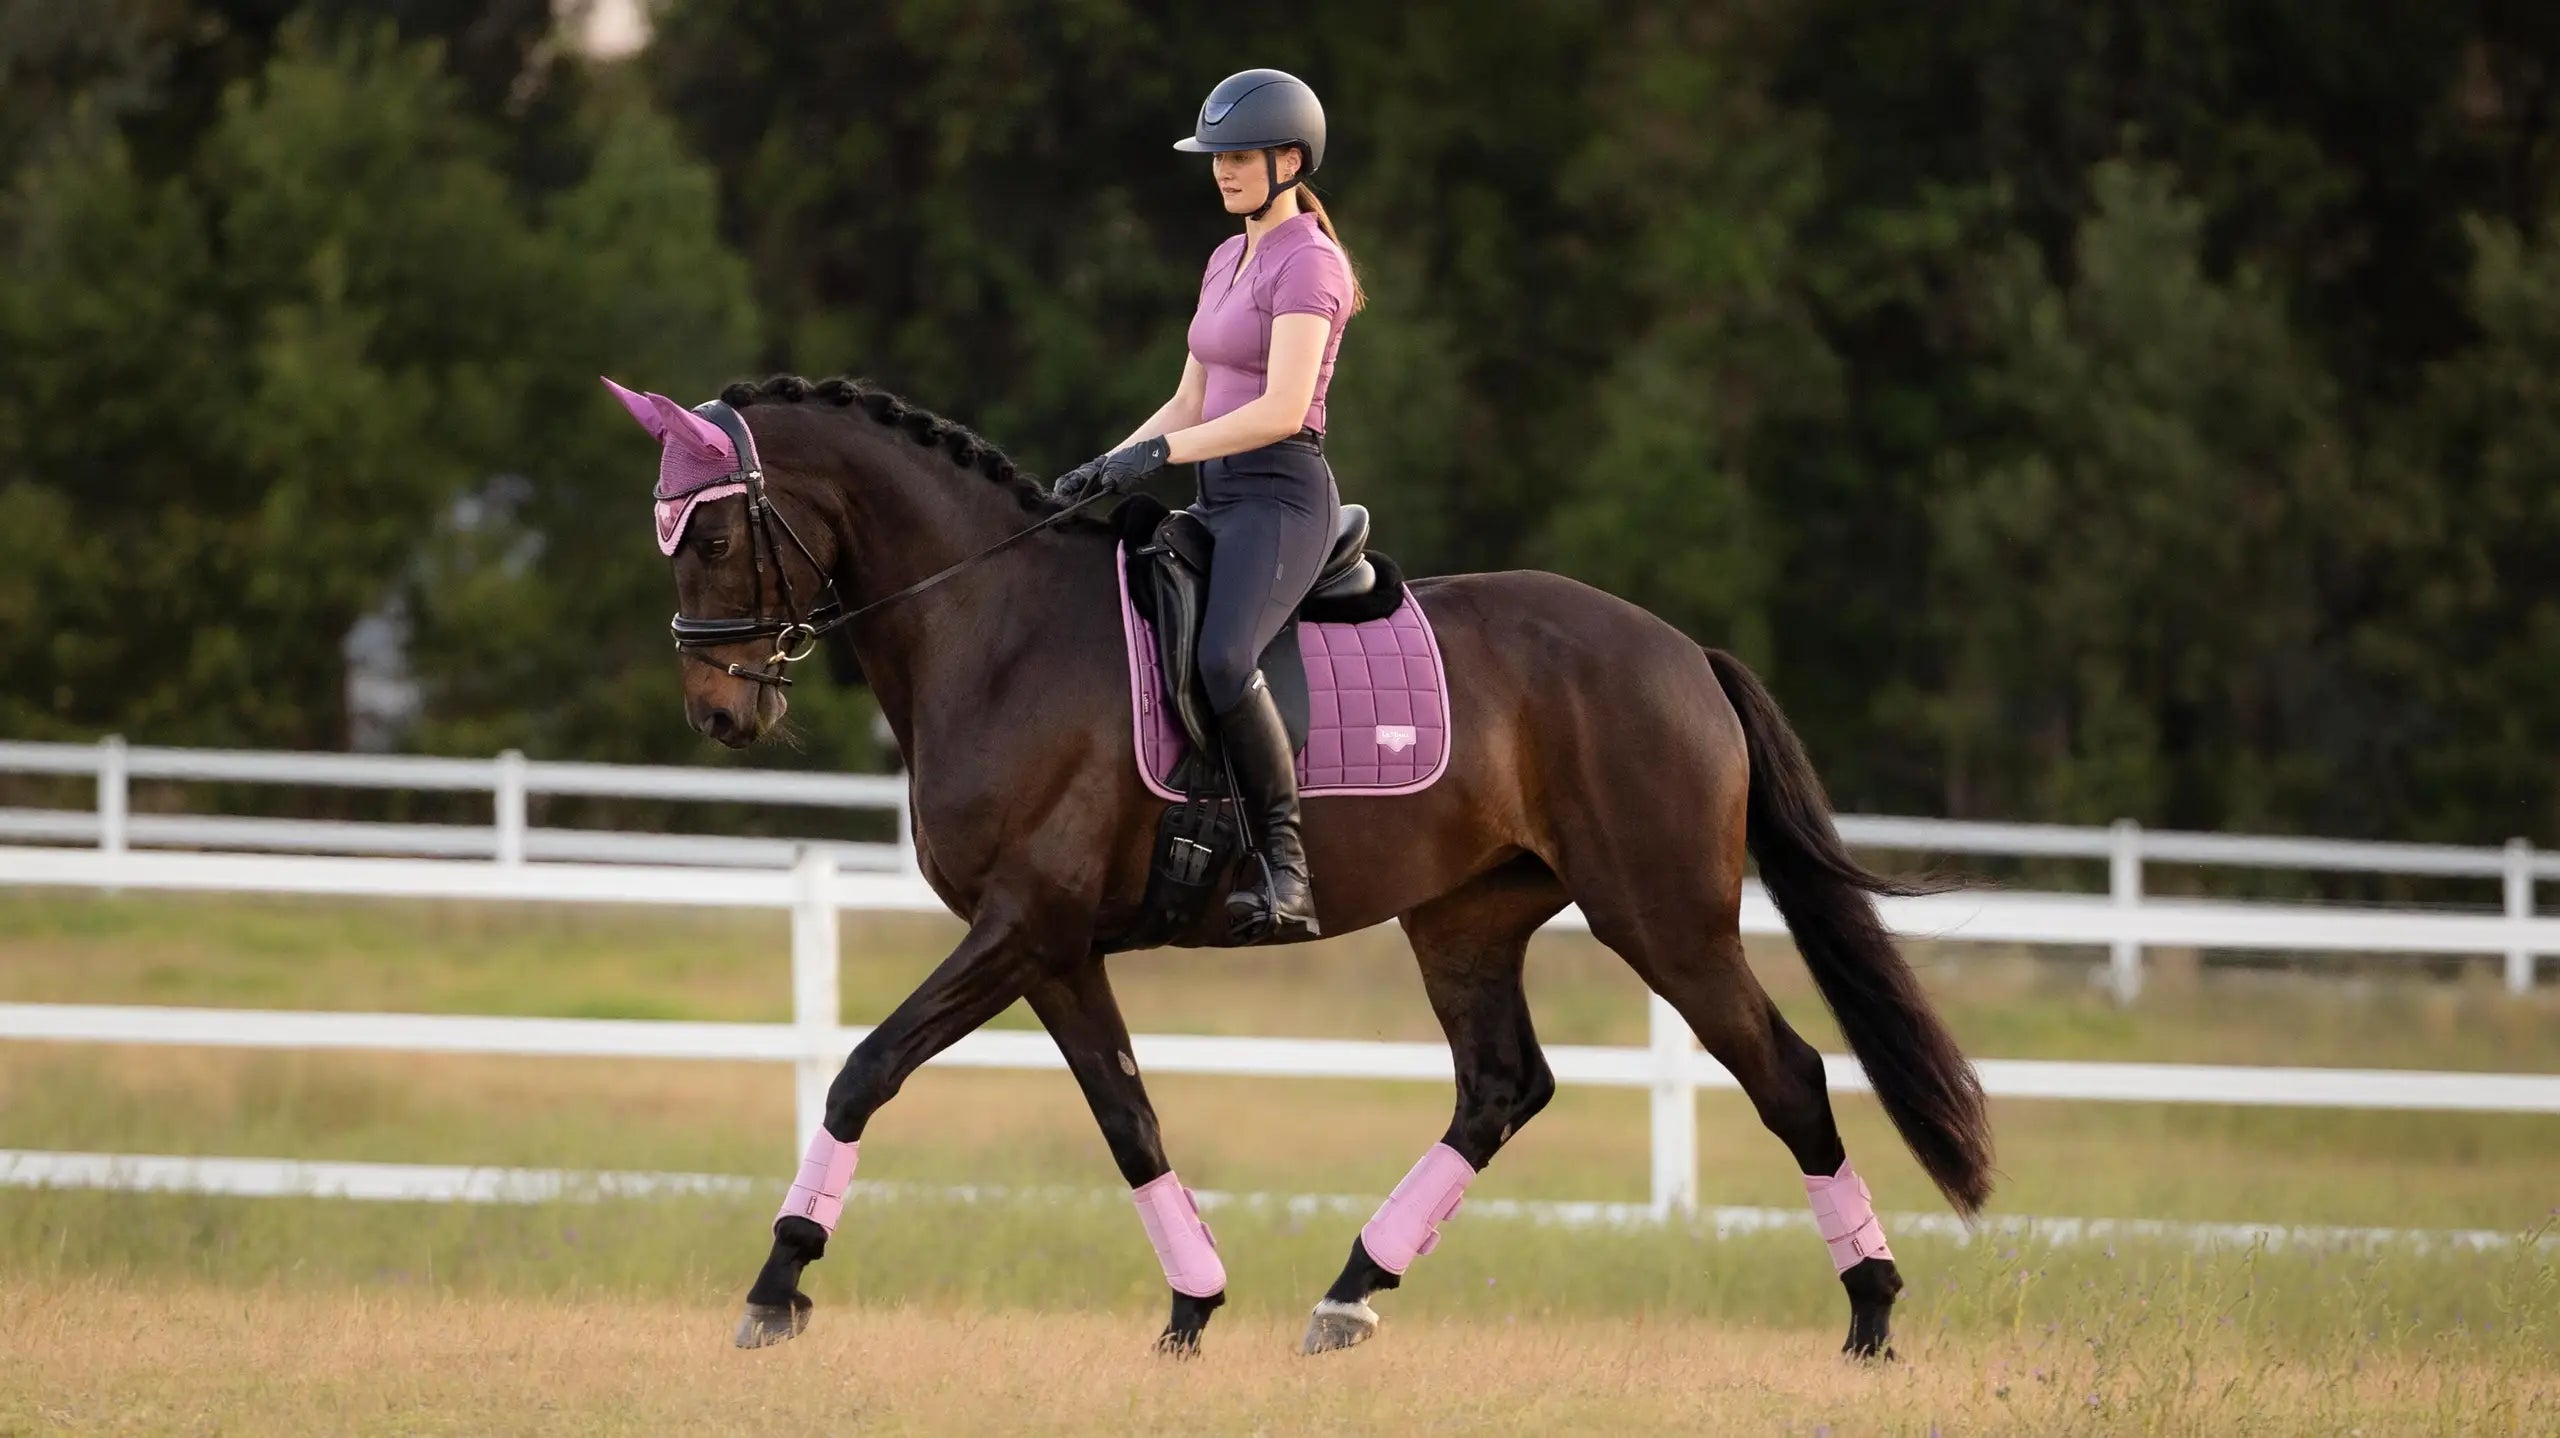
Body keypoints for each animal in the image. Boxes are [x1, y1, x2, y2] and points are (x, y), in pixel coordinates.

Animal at [606, 372, 1994, 1361]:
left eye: (712, 537)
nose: (720, 713)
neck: (992, 631)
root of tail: (1678, 650)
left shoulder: (1018, 927)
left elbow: (862, 1071)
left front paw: (775, 1284)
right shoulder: (1052, 948)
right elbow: (1127, 1117)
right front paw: (1193, 1305)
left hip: (1665, 920)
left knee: (1788, 1077)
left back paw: (1871, 1314)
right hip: (1465, 921)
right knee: (1500, 1088)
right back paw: (1346, 1296)